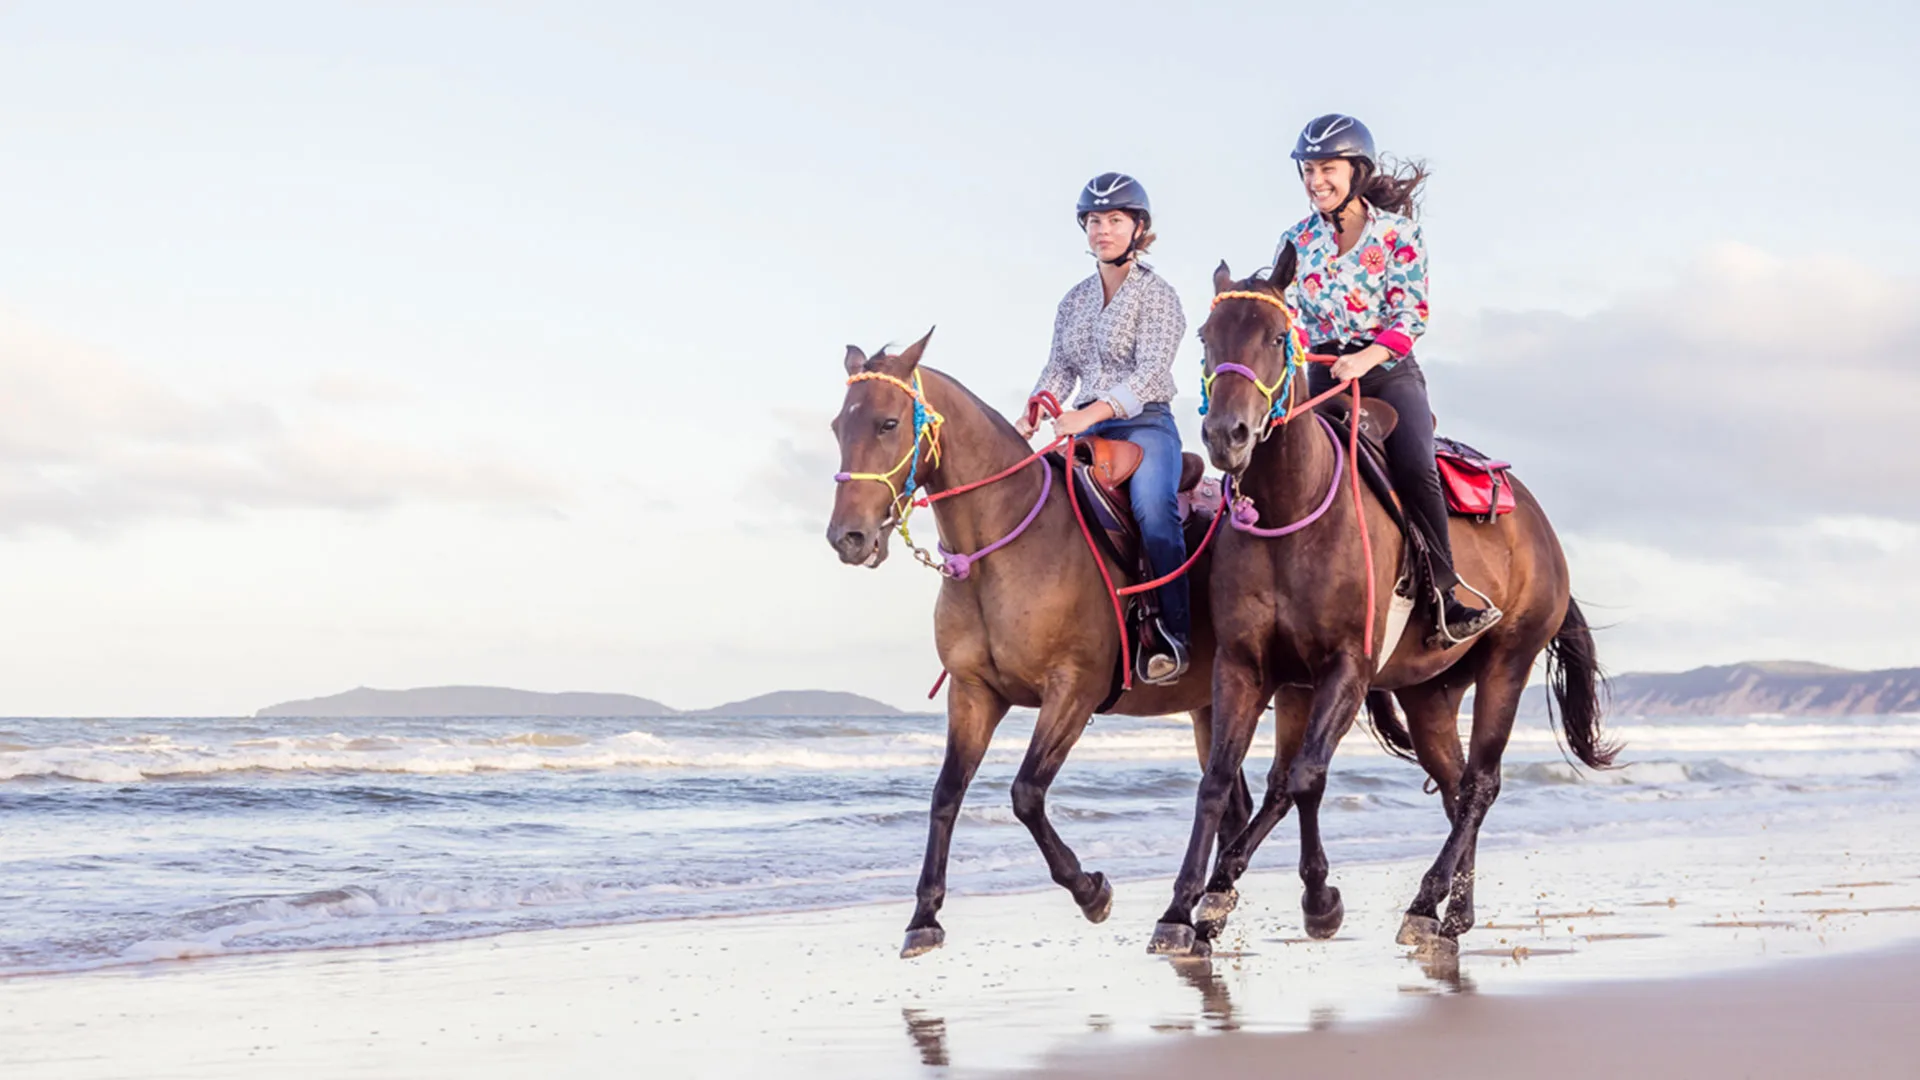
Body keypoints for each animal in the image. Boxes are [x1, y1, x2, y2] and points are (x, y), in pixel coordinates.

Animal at [829, 332, 1251, 953]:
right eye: (839, 426)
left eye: (887, 423)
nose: (848, 538)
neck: (1004, 549)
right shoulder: (974, 693)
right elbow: (946, 794)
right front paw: (924, 917)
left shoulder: (1073, 691)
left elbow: (1026, 792)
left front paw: (1092, 891)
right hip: (1209, 705)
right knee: (1232, 803)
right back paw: (1207, 921)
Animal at [1144, 265, 1612, 953]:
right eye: (1206, 335)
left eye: (1278, 336)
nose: (1227, 436)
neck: (1291, 512)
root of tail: (1536, 522)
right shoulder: (1245, 667)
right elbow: (1220, 783)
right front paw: (1184, 909)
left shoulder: (1346, 668)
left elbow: (1302, 777)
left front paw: (1265, 897)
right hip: (1429, 694)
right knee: (1455, 787)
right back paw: (1450, 911)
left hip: (1509, 660)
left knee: (1481, 784)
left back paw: (1428, 903)